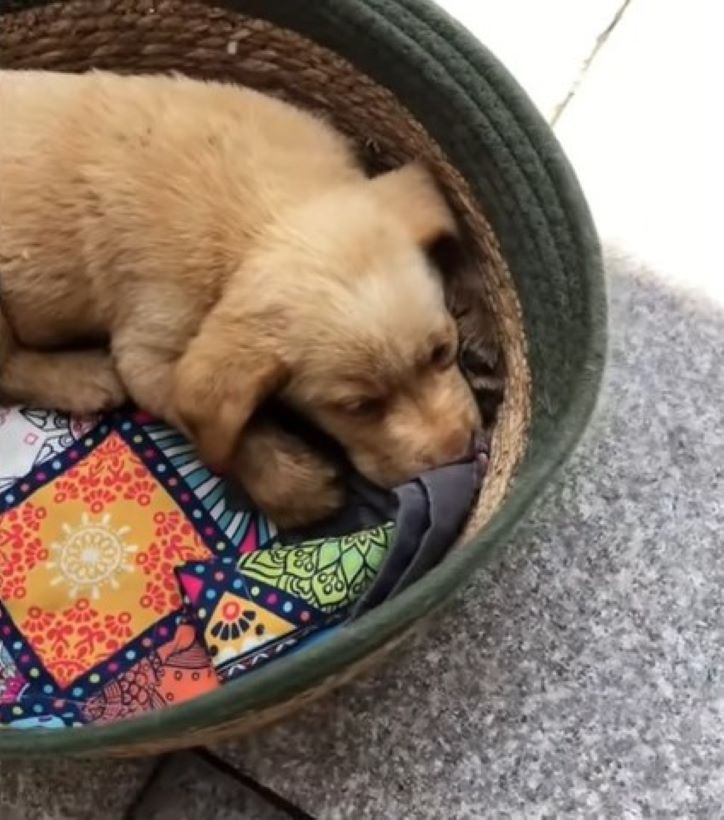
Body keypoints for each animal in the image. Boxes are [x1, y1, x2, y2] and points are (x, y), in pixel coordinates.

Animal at [0, 70, 480, 524]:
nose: (457, 451)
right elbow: (224, 429)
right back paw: (83, 378)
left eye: (443, 352)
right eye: (358, 407)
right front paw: (295, 487)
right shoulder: (151, 354)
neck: (261, 211)